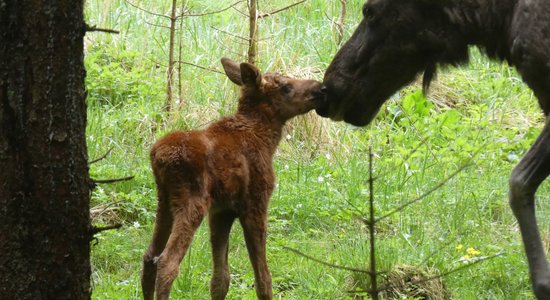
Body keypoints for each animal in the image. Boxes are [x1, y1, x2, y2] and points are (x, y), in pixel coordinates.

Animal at [140, 57, 326, 298]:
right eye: (286, 87)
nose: (321, 88)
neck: (266, 140)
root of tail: (159, 156)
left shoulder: (222, 211)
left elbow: (220, 279)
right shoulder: (255, 202)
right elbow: (263, 277)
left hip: (164, 201)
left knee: (149, 257)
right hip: (193, 201)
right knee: (167, 262)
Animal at [320, 0, 550, 298]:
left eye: (369, 11)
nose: (328, 90)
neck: (498, 19)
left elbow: (519, 182)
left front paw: (542, 283)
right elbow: (521, 182)